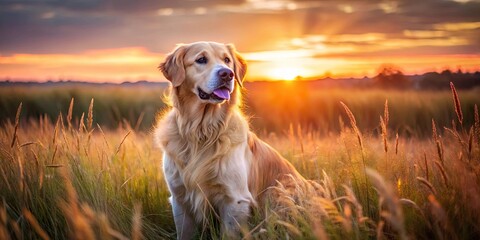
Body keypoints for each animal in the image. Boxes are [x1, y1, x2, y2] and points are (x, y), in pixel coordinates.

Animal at [153, 41, 312, 238]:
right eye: (201, 59)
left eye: (227, 60)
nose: (227, 74)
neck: (202, 131)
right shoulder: (180, 198)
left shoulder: (235, 199)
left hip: (278, 193)